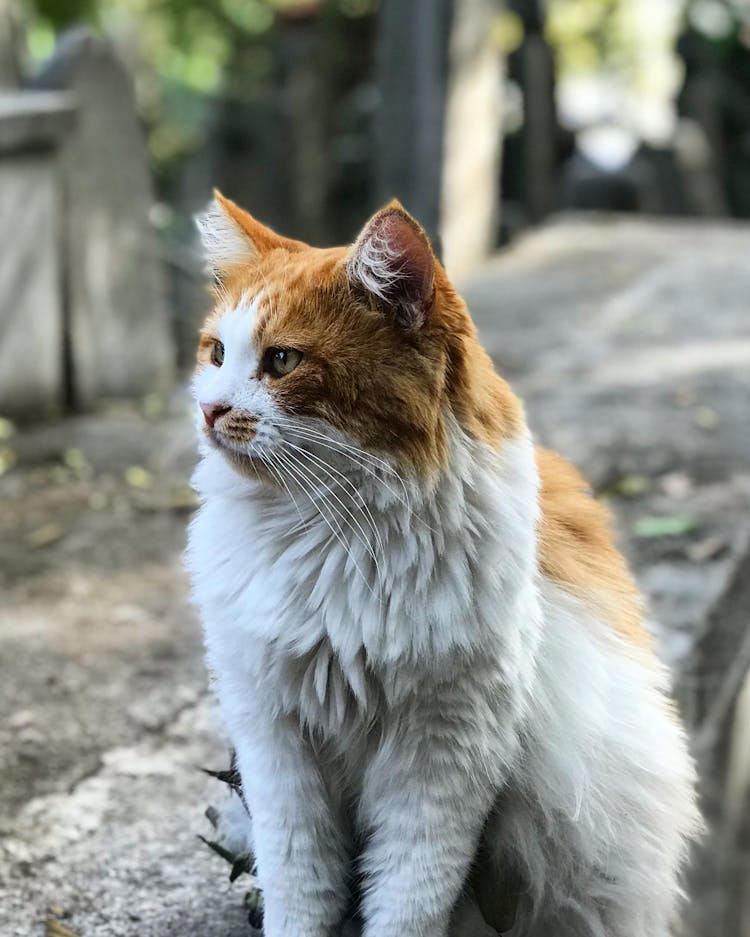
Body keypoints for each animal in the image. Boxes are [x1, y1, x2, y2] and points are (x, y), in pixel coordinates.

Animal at [185, 192, 704, 936]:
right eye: (217, 353)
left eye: (281, 361)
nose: (209, 409)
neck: (332, 534)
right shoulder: (274, 738)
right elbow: (300, 885)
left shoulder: (442, 755)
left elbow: (407, 898)